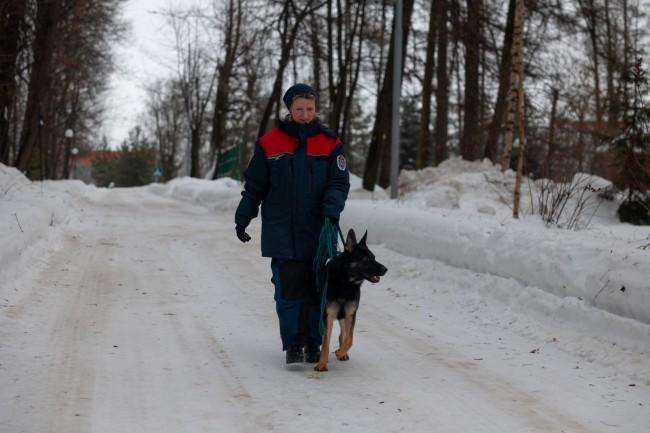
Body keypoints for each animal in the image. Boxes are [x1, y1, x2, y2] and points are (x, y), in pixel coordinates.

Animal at [314, 229, 387, 372]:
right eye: (366, 259)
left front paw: (341, 352)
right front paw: (322, 363)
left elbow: (350, 339)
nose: (385, 269)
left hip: (343, 316)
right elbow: (325, 343)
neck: (345, 283)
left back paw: (342, 353)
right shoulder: (328, 316)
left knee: (343, 334)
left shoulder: (350, 314)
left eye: (374, 257)